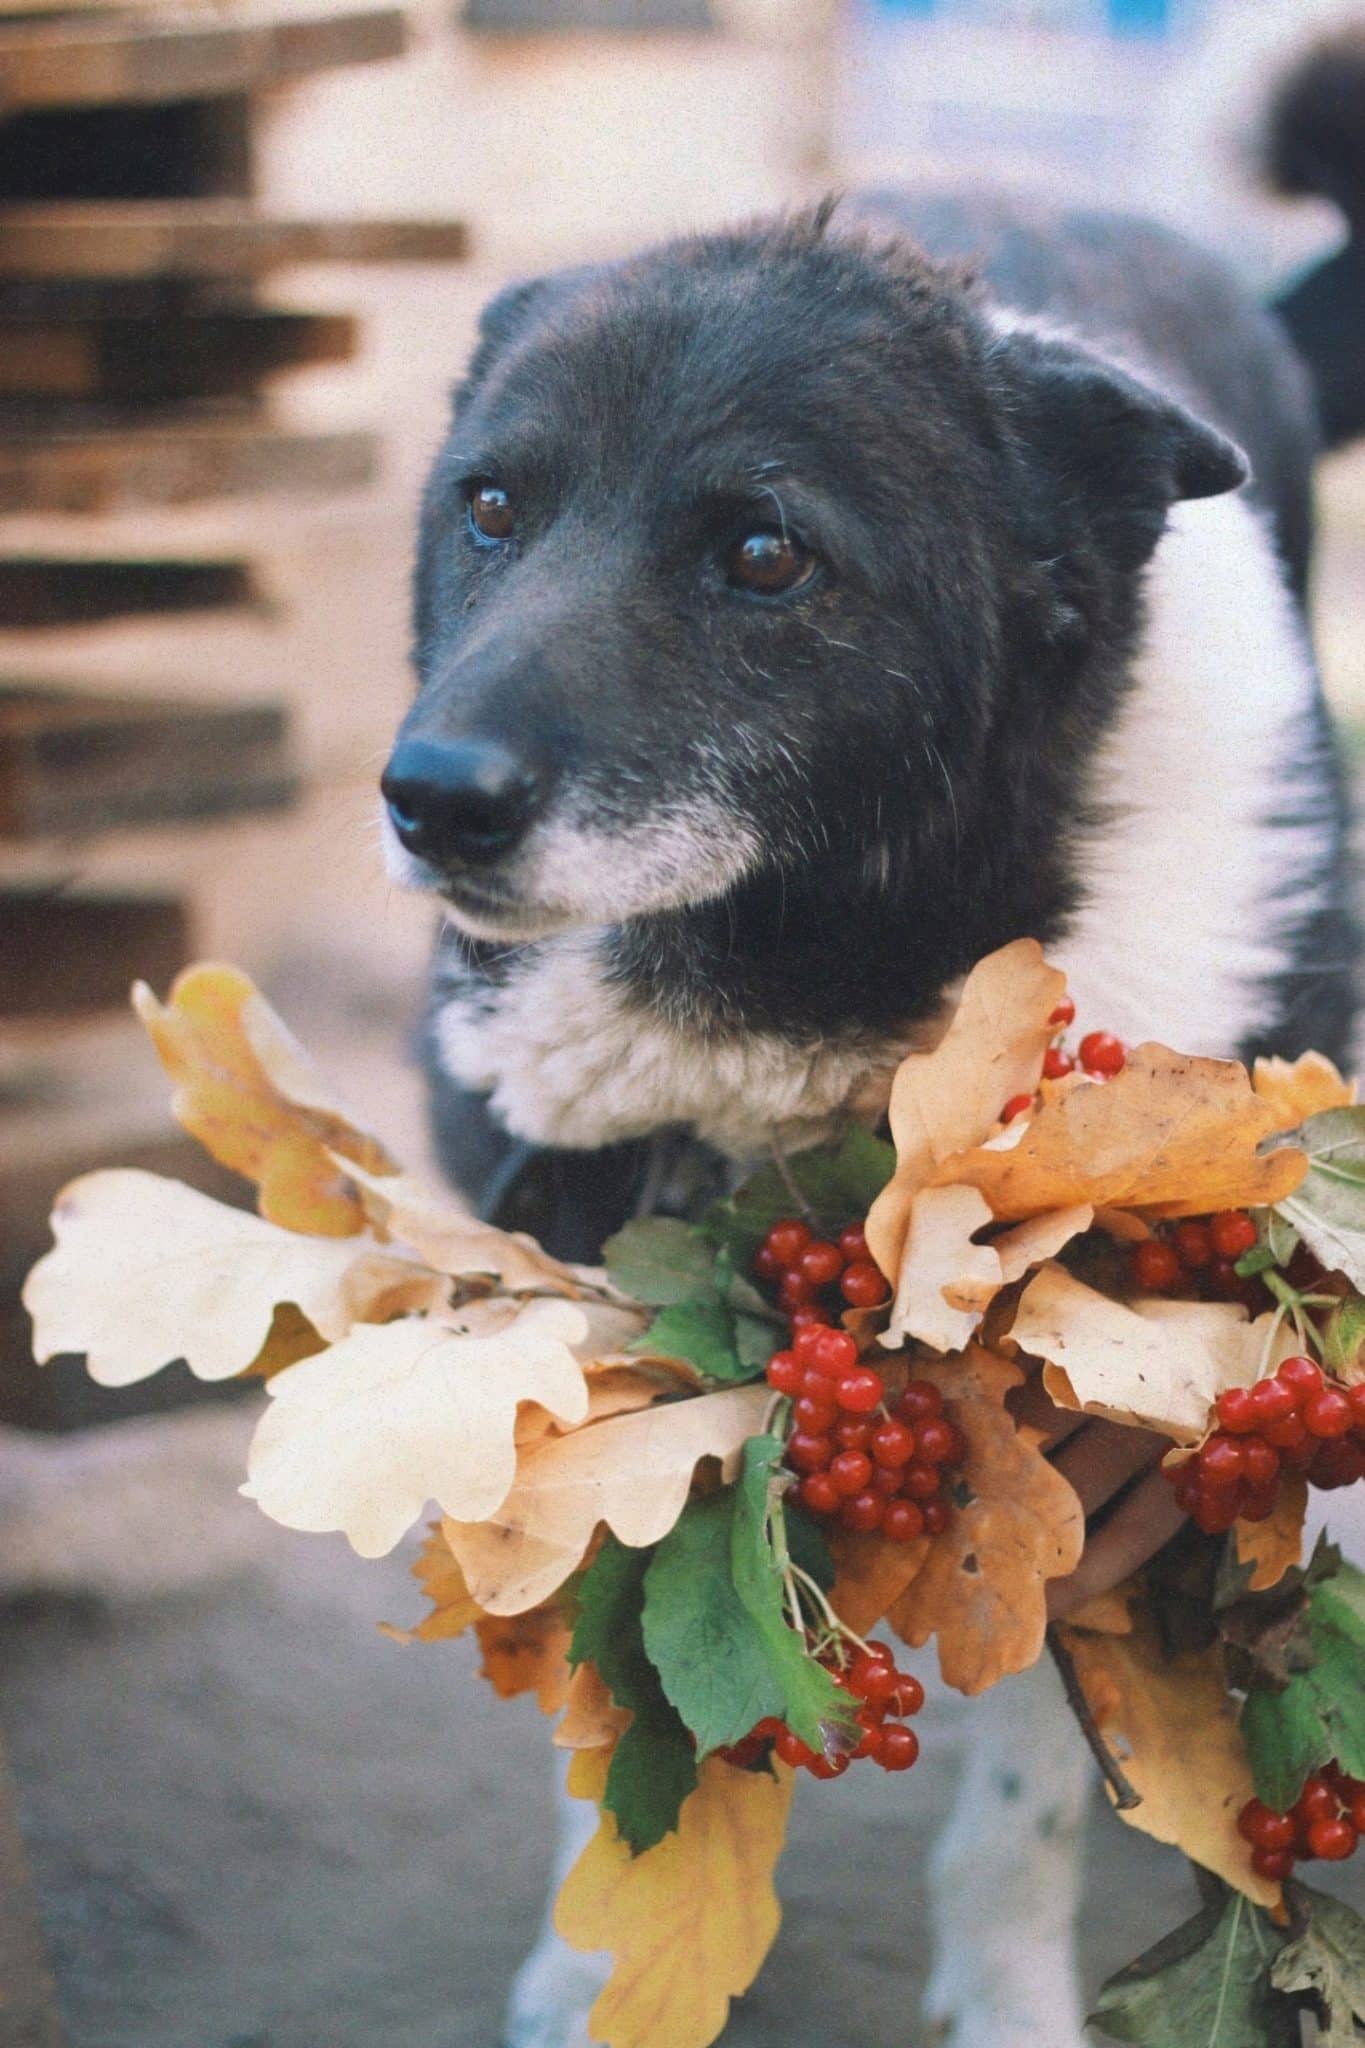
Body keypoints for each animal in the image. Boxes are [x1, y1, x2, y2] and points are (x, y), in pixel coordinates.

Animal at [378, 24, 1365, 2039]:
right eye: (490, 506)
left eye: (766, 553)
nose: (428, 801)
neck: (838, 1016)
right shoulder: (595, 1369)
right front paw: (599, 1960)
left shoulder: (1134, 1440)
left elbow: (1040, 1797)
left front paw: (1005, 1991)